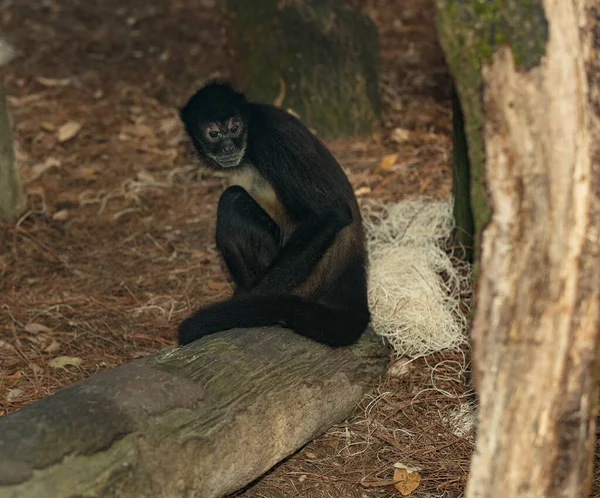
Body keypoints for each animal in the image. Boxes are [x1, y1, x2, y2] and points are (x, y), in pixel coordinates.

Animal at [176, 80, 368, 346]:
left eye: (234, 128)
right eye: (213, 134)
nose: (228, 146)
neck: (250, 130)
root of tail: (352, 265)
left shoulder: (270, 136)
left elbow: (330, 214)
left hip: (303, 278)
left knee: (231, 200)